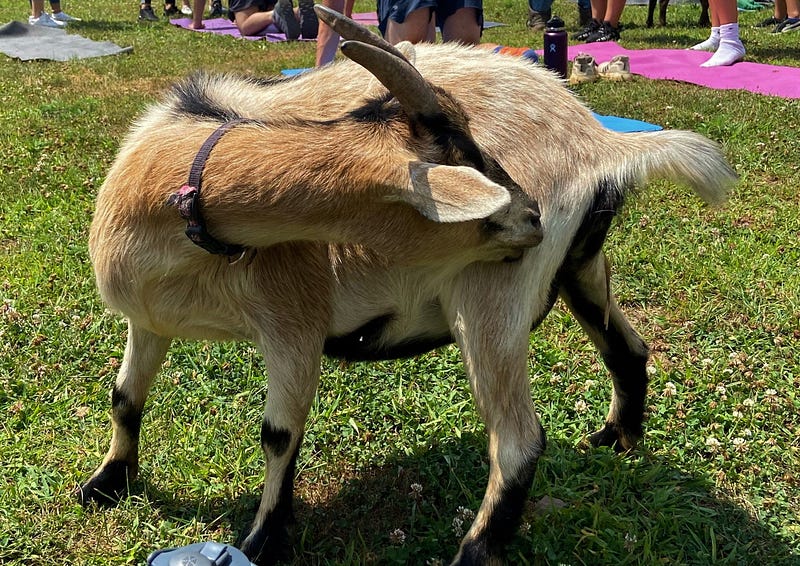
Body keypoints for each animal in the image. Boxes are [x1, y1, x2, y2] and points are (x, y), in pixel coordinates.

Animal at [78, 6, 736, 564]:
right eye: (460, 152)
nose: (529, 214)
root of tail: (605, 143)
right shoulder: (146, 320)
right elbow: (124, 396)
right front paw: (107, 483)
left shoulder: (293, 323)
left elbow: (279, 432)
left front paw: (264, 538)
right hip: (579, 269)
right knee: (628, 349)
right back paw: (619, 439)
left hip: (491, 297)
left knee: (519, 441)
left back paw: (473, 552)